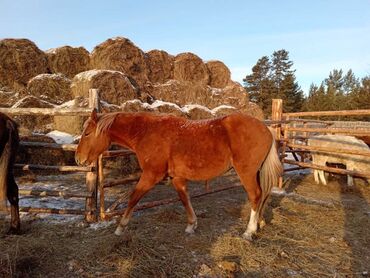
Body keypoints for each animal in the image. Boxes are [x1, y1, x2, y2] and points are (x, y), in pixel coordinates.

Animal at [76, 109, 284, 240]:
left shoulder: (151, 175)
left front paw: (120, 227)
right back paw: (260, 223)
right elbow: (185, 199)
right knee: (263, 195)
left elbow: (134, 197)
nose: (78, 159)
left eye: (87, 133)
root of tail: (266, 128)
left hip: (246, 172)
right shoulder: (177, 178)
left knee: (255, 196)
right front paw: (191, 225)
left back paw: (249, 231)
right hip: (256, 173)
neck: (146, 132)